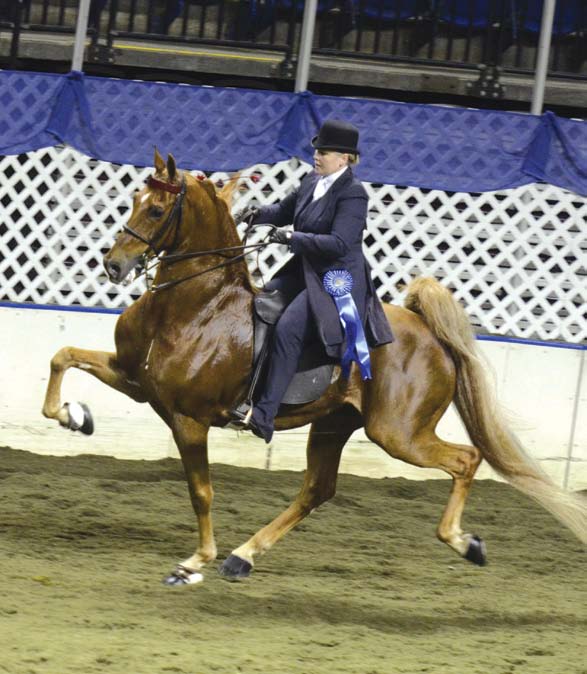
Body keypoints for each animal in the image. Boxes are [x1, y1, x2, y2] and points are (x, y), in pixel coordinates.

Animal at [42, 150, 587, 580]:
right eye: (134, 199)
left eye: (156, 209)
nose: (114, 265)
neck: (196, 304)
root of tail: (425, 328)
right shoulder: (135, 380)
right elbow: (62, 357)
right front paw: (75, 417)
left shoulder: (188, 420)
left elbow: (202, 491)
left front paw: (194, 562)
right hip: (334, 423)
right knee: (318, 490)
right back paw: (243, 556)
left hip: (398, 433)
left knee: (465, 460)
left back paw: (464, 542)